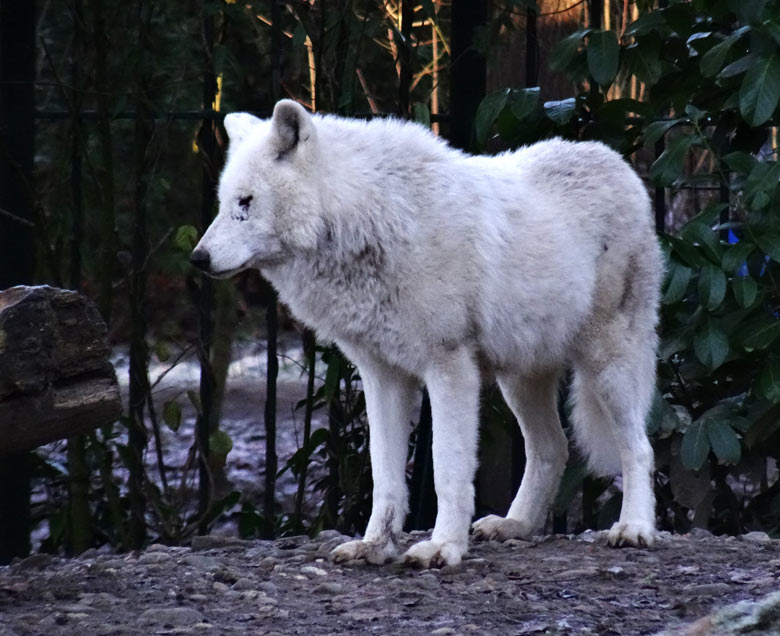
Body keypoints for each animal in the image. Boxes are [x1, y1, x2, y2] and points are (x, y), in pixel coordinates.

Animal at [192, 100, 660, 572]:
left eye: (246, 202)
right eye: (222, 203)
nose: (198, 258)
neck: (369, 216)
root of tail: (616, 161)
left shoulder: (449, 367)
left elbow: (446, 471)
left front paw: (442, 547)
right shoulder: (382, 377)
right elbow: (385, 477)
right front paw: (375, 545)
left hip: (607, 365)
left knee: (638, 447)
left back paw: (634, 527)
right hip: (519, 379)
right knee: (552, 448)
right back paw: (515, 524)